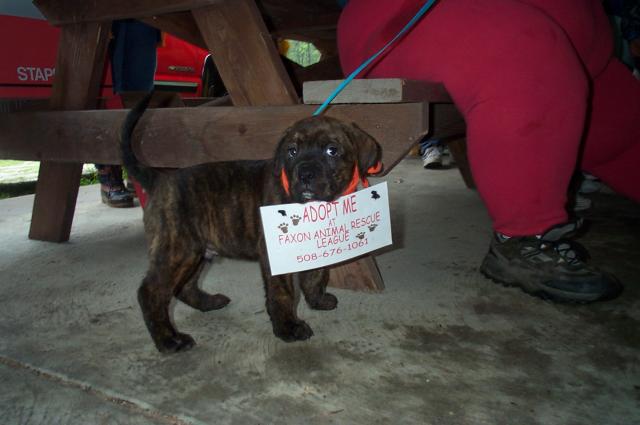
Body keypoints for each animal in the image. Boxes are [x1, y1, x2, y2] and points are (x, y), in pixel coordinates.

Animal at [121, 93, 382, 353]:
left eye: (332, 150)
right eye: (292, 152)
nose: (305, 174)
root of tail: (160, 179)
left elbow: (315, 275)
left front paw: (317, 300)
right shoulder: (274, 256)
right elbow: (282, 292)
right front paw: (288, 328)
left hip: (197, 251)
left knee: (184, 286)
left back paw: (209, 302)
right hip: (178, 249)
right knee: (151, 292)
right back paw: (169, 340)